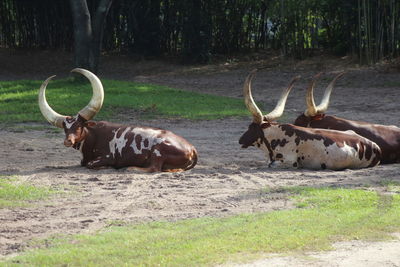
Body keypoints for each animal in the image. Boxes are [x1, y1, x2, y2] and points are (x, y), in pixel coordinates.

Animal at [38, 69, 198, 173]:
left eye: (79, 126)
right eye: (65, 128)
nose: (68, 141)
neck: (93, 136)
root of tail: (192, 148)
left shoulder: (106, 157)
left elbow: (90, 164)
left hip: (158, 150)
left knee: (155, 168)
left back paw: (132, 168)